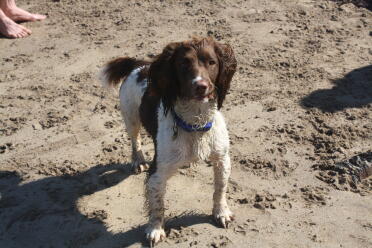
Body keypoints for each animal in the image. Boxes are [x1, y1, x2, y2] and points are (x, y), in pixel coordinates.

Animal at [99, 36, 235, 246]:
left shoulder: (222, 158)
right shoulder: (158, 171)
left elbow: (220, 189)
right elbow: (157, 204)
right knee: (135, 140)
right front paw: (155, 230)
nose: (201, 86)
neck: (195, 123)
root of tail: (140, 65)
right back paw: (138, 161)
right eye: (183, 64)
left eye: (211, 62)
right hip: (130, 117)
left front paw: (221, 213)